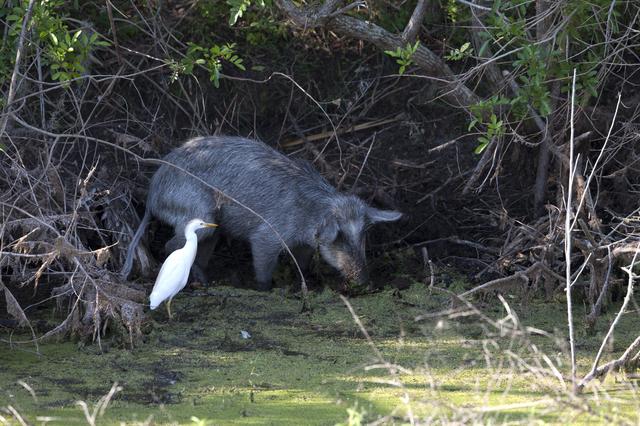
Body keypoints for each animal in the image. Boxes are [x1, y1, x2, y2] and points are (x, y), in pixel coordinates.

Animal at [122, 136, 401, 290]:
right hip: (199, 212)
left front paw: (307, 282)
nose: (366, 281)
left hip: (212, 226)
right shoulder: (266, 236)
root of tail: (152, 192)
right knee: (170, 245)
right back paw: (204, 281)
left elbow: (303, 263)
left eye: (363, 235)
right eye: (340, 236)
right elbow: (263, 268)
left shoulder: (304, 245)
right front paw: (265, 288)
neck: (308, 213)